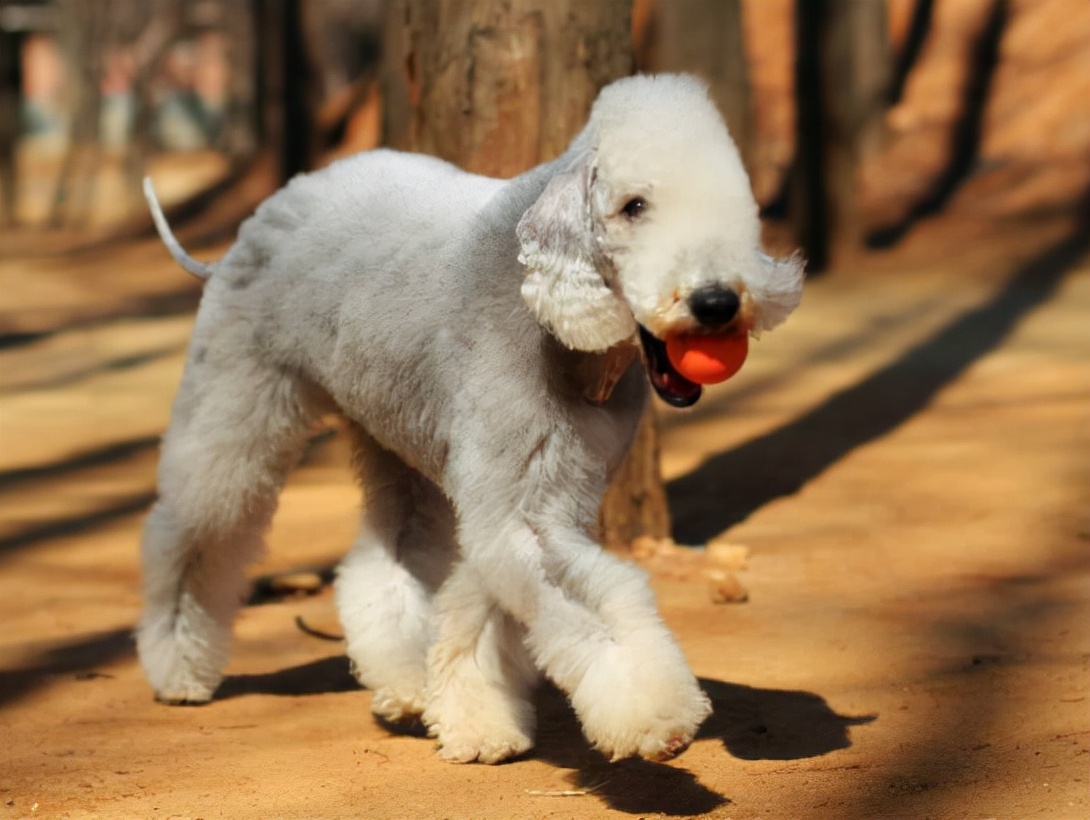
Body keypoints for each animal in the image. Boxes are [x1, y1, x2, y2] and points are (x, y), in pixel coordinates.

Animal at [136, 73, 806, 767]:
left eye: (738, 205)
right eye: (633, 206)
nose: (716, 303)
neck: (555, 327)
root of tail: (258, 221)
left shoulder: (527, 491)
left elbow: (483, 594)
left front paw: (475, 717)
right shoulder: (516, 495)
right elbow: (588, 606)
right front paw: (654, 713)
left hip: (394, 430)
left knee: (387, 552)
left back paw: (406, 685)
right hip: (235, 401)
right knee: (194, 528)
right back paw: (179, 669)